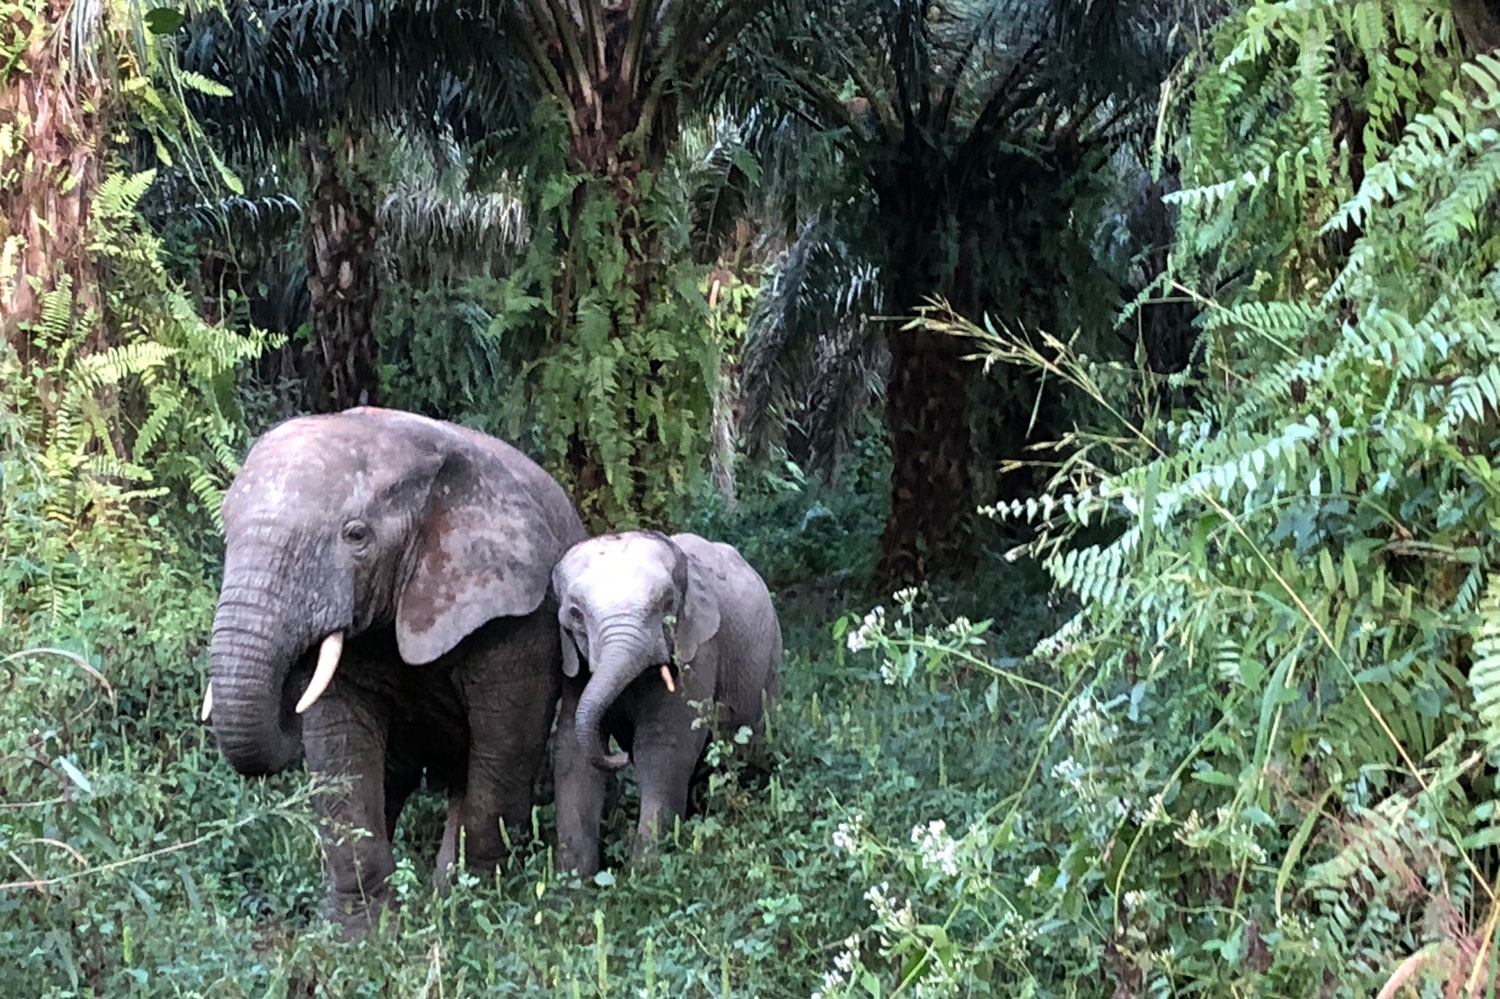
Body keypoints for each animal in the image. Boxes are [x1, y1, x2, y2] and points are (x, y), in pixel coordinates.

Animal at [204, 402, 585, 924]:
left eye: (356, 535)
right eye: (224, 529)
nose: (287, 694)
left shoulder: (518, 615)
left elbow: (503, 745)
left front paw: (468, 904)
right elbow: (341, 752)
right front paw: (361, 929)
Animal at [555, 528, 786, 870]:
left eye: (667, 603)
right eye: (575, 614)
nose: (618, 757)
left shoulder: (699, 651)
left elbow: (663, 747)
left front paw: (644, 871)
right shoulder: (574, 668)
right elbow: (572, 750)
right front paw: (572, 879)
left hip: (770, 656)